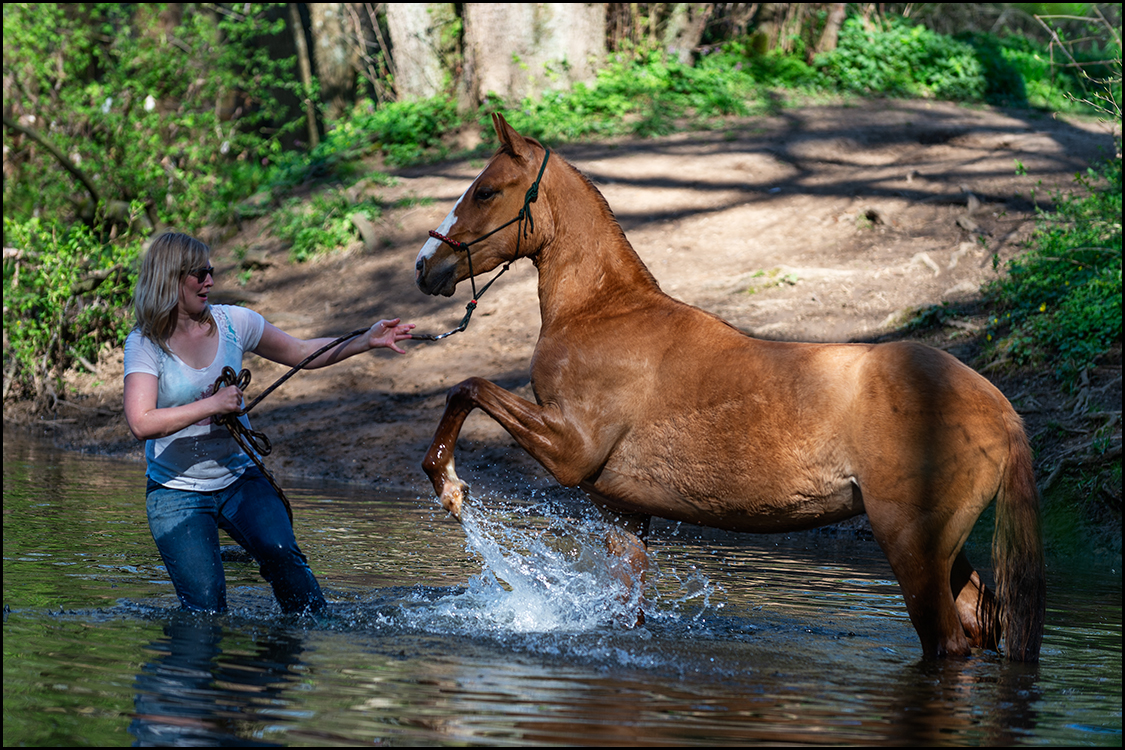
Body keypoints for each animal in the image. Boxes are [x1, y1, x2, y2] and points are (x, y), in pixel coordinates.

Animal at [414, 113, 1044, 661]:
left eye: (486, 192)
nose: (425, 265)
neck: (603, 313)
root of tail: (1000, 409)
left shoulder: (571, 450)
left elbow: (467, 388)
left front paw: (448, 485)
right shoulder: (623, 514)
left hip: (912, 549)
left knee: (949, 644)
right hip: (944, 555)